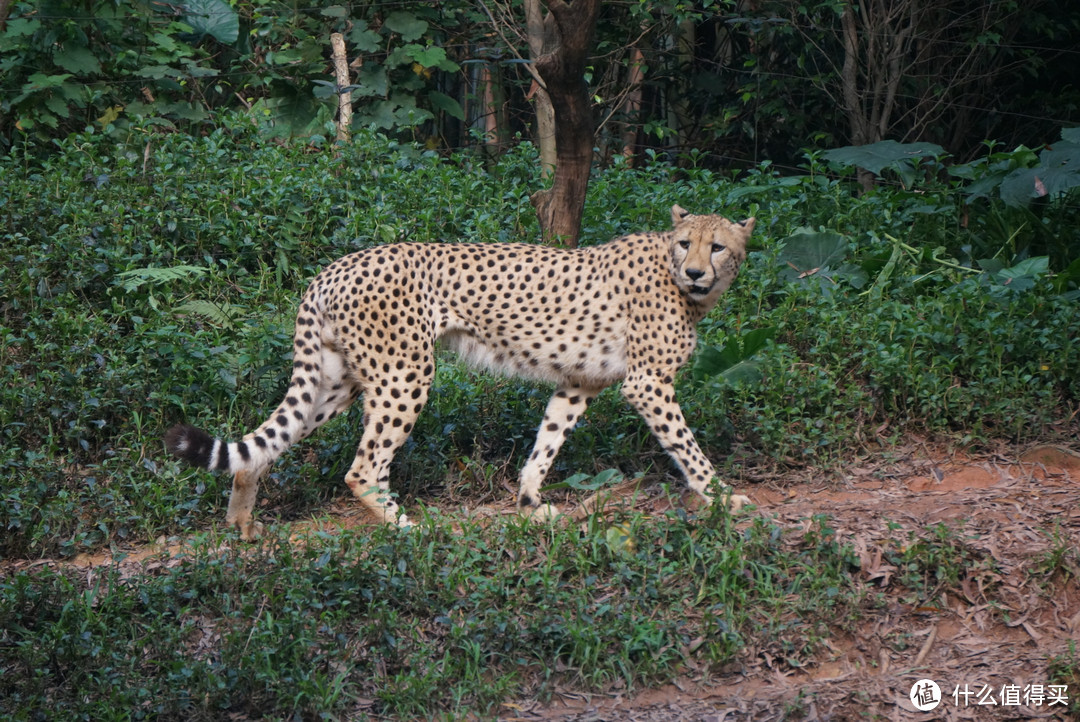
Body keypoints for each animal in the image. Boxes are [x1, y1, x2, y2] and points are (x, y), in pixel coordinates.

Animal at [164, 202, 756, 535]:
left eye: (718, 246)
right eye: (687, 243)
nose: (696, 272)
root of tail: (333, 267)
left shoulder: (578, 382)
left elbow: (546, 443)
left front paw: (530, 503)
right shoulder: (648, 383)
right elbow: (688, 449)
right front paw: (726, 499)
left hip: (339, 380)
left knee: (265, 445)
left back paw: (243, 524)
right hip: (404, 375)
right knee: (363, 468)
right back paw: (407, 529)